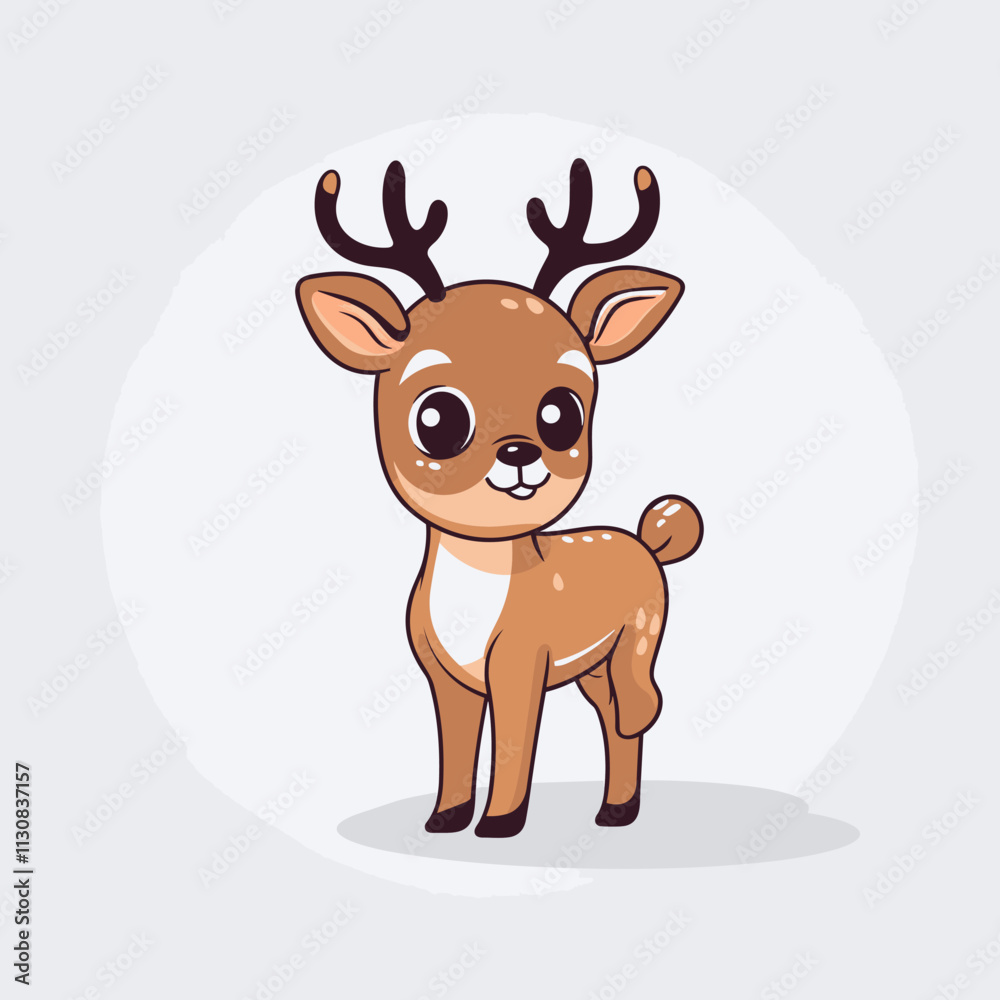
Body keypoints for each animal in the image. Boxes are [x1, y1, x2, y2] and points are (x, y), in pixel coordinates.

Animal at [295, 157, 703, 838]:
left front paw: (499, 823)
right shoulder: (447, 679)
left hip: (635, 644)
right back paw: (616, 809)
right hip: (592, 668)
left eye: (563, 413)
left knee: (639, 710)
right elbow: (456, 751)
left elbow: (514, 746)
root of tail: (648, 540)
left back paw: (619, 808)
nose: (518, 453)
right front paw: (445, 818)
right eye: (437, 418)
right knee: (614, 720)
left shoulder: (519, 667)